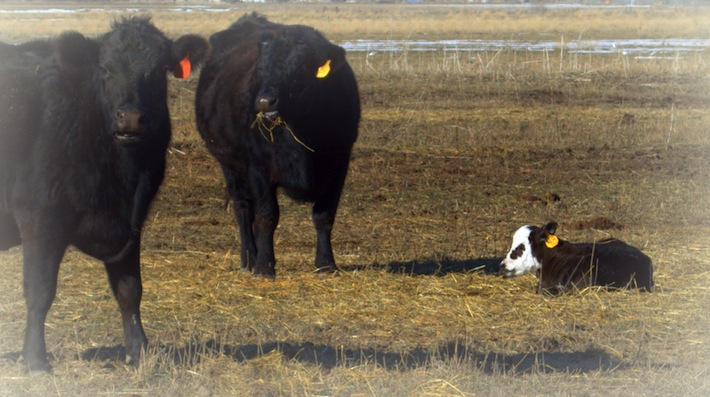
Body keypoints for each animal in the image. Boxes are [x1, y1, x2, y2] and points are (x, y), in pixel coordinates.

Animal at [0, 16, 210, 374]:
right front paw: (36, 359)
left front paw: (138, 351)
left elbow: (130, 289)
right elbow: (40, 290)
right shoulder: (39, 218)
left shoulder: (132, 222)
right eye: (105, 69)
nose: (131, 117)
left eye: (158, 70)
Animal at [196, 13, 358, 278]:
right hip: (231, 166)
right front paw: (264, 266)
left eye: (299, 70)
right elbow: (267, 215)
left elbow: (324, 215)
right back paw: (250, 259)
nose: (264, 101)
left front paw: (326, 264)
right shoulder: (259, 167)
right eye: (261, 70)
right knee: (244, 209)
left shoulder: (339, 163)